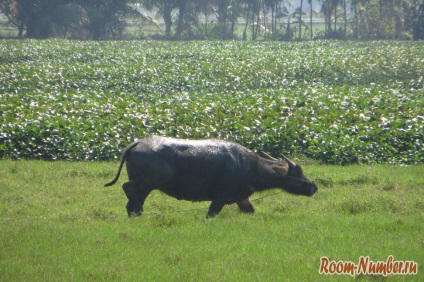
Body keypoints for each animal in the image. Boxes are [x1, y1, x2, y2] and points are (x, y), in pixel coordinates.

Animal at [104, 135, 316, 217]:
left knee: (132, 200)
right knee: (128, 188)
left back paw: (136, 213)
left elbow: (250, 211)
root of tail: (139, 142)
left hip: (146, 186)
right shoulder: (220, 197)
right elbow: (211, 213)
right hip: (147, 182)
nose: (313, 186)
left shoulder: (242, 198)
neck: (248, 166)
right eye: (298, 171)